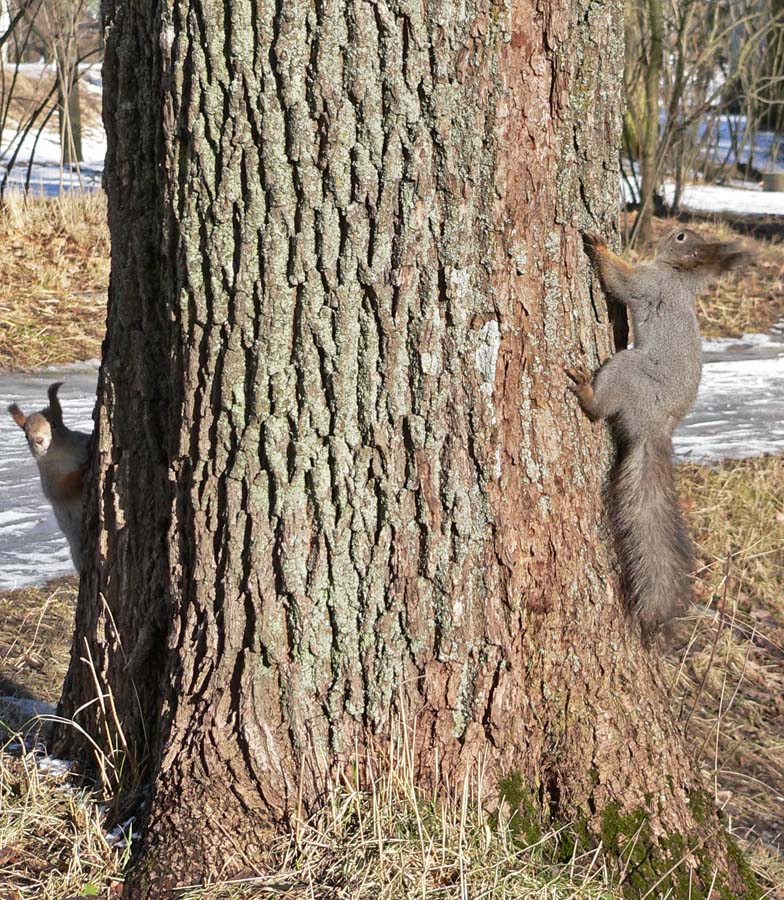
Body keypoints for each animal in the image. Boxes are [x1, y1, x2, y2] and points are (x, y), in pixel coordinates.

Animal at [7, 382, 92, 568]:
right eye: (25, 435)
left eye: (53, 424)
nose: (38, 440)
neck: (63, 454)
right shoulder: (49, 478)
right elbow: (62, 488)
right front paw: (81, 472)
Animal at [572, 229, 752, 644]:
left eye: (682, 236)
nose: (673, 230)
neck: (678, 276)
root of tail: (657, 428)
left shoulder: (648, 283)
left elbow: (621, 281)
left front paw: (598, 245)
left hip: (627, 370)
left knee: (601, 409)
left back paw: (587, 394)